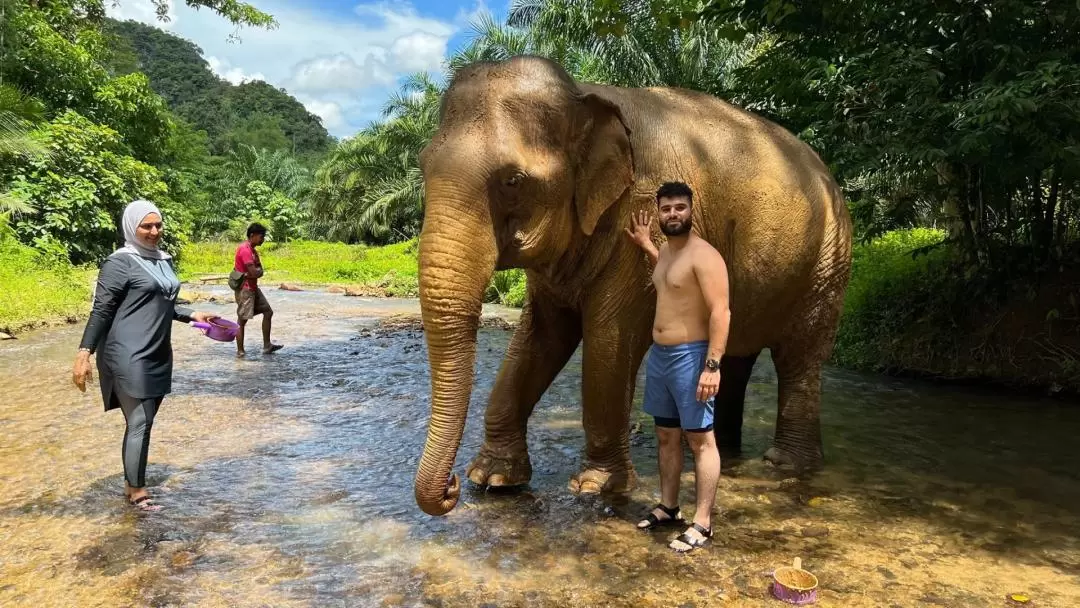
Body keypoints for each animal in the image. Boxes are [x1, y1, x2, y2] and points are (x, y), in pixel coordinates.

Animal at [412, 54, 851, 516]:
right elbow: (538, 339)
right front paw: (493, 479)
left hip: (828, 260)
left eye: (513, 180)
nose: (451, 488)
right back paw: (724, 453)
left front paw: (596, 487)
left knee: (799, 355)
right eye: (422, 166)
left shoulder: (641, 215)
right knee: (736, 355)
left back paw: (784, 464)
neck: (582, 92)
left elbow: (609, 340)